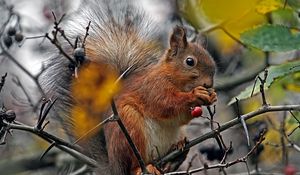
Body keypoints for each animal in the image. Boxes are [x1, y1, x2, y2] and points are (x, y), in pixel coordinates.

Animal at [41, 0, 217, 175]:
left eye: (212, 62)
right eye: (190, 61)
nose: (209, 84)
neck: (174, 79)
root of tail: (113, 166)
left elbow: (181, 117)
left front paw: (212, 95)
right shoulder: (153, 87)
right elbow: (165, 104)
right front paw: (195, 94)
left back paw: (175, 154)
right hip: (129, 128)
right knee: (133, 164)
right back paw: (144, 167)